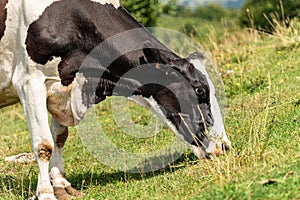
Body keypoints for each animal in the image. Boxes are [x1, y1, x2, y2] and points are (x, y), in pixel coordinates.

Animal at [0, 0, 231, 199]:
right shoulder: (29, 81)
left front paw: (61, 185)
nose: (224, 146)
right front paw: (46, 193)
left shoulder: (65, 86)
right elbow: (44, 145)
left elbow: (59, 137)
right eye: (200, 90)